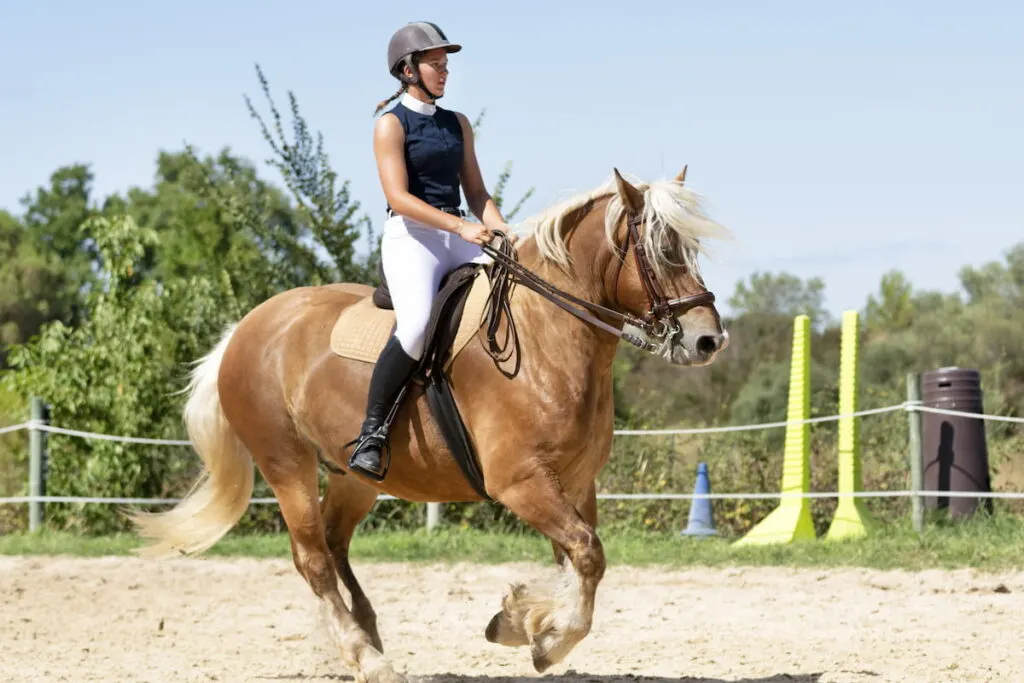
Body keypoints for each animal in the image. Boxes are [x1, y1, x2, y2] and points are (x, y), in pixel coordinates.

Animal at [132, 167, 733, 679]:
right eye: (660, 251)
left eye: (690, 248)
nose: (708, 340)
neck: (547, 336)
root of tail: (246, 328)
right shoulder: (523, 483)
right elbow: (588, 555)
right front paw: (545, 638)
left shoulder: (577, 484)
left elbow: (577, 562)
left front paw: (522, 620)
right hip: (286, 464)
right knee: (313, 559)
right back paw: (367, 659)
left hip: (354, 477)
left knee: (333, 541)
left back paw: (369, 637)